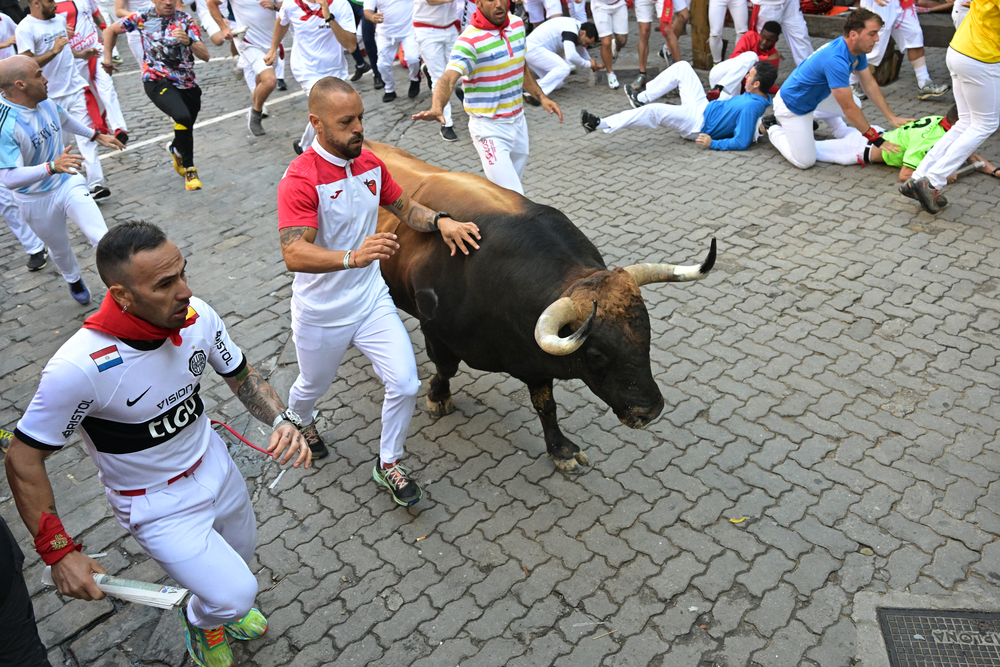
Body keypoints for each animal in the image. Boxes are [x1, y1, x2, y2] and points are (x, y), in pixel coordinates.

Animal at [372, 144, 716, 472]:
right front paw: (437, 397)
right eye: (596, 354)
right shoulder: (436, 332)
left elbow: (545, 404)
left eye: (647, 332)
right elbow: (446, 368)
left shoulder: (533, 360)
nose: (650, 410)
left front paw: (561, 449)